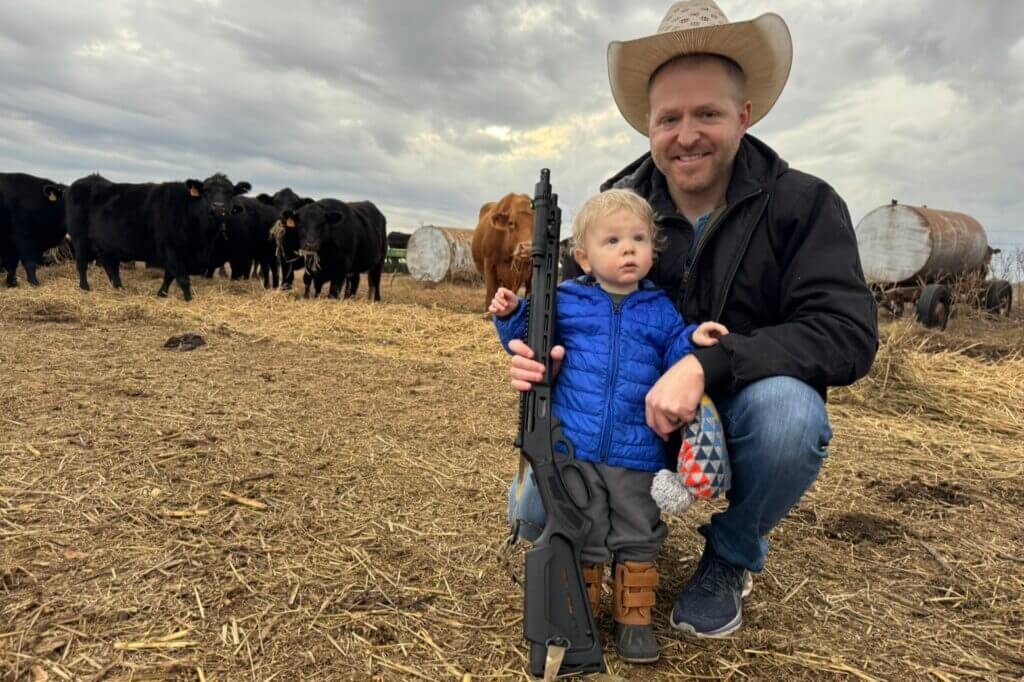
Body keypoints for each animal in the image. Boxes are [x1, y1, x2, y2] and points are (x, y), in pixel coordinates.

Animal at [67, 173, 251, 301]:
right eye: (206, 191)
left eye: (230, 192)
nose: (218, 207)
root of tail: (86, 180)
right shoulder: (171, 249)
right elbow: (182, 277)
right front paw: (189, 299)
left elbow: (169, 276)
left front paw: (162, 294)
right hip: (80, 238)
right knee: (82, 264)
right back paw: (85, 287)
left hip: (106, 245)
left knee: (110, 266)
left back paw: (119, 288)